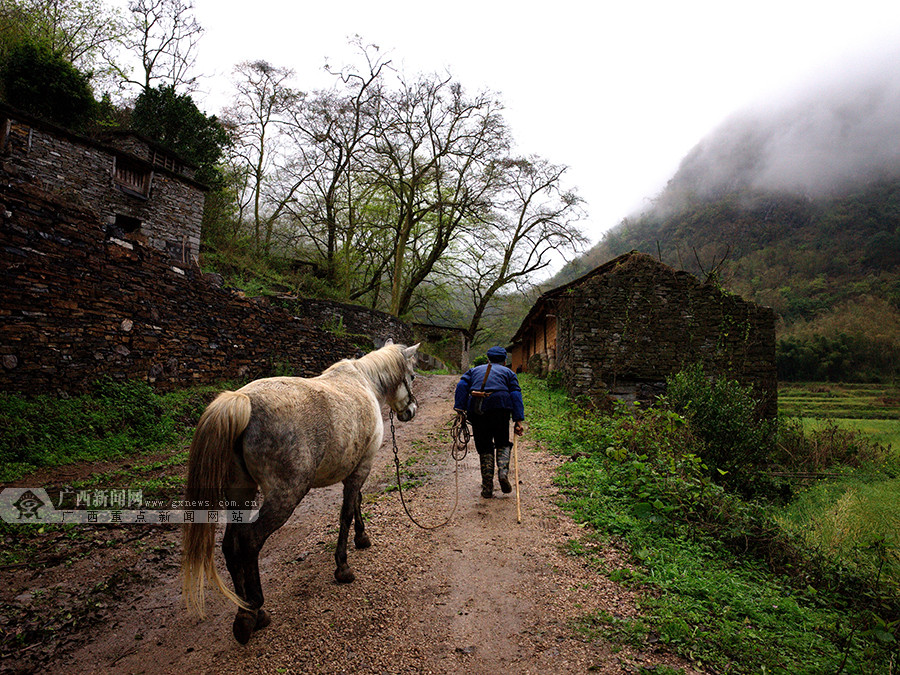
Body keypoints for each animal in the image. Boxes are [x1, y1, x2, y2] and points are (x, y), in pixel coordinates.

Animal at [185, 344, 422, 644]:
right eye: (412, 376)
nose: (411, 411)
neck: (365, 382)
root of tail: (242, 401)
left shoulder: (354, 468)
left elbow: (356, 502)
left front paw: (362, 538)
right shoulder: (362, 466)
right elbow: (347, 511)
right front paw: (343, 566)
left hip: (240, 494)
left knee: (230, 544)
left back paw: (245, 614)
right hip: (285, 495)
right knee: (250, 540)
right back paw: (256, 607)